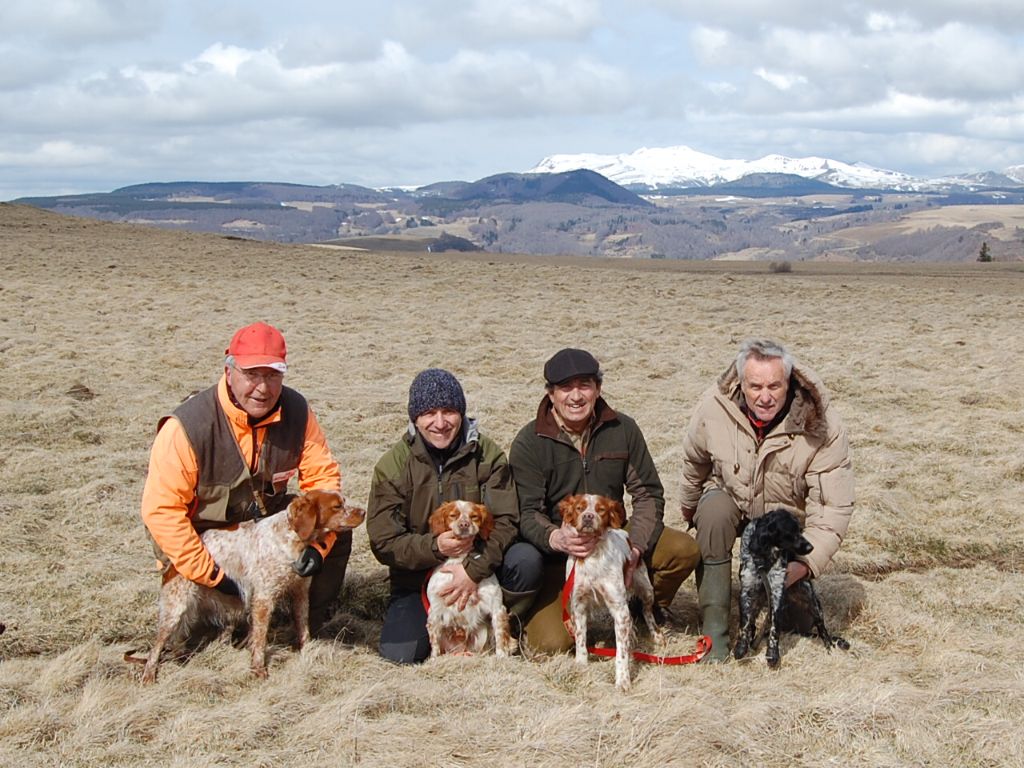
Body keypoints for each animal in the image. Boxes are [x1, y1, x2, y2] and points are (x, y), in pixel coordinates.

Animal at [140, 489, 364, 684]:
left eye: (344, 501)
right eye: (337, 506)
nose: (362, 512)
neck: (291, 538)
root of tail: (172, 563)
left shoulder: (300, 592)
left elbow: (303, 628)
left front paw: (308, 651)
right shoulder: (264, 599)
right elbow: (260, 639)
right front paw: (259, 670)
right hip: (175, 609)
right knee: (156, 647)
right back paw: (149, 676)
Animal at [425, 501, 516, 659]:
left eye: (474, 516)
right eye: (453, 515)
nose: (464, 524)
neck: (459, 561)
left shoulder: (496, 606)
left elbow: (500, 636)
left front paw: (501, 657)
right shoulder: (435, 610)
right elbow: (434, 642)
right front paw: (434, 660)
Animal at [561, 495, 663, 696]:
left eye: (600, 509)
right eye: (579, 508)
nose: (588, 517)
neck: (593, 555)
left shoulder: (619, 607)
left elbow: (621, 653)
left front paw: (623, 681)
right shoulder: (578, 605)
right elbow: (580, 638)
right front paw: (581, 665)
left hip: (646, 589)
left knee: (647, 612)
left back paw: (656, 635)